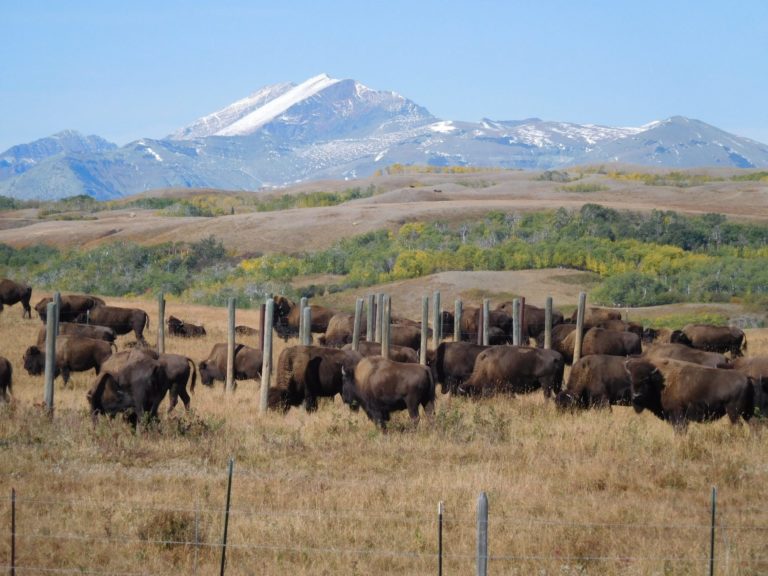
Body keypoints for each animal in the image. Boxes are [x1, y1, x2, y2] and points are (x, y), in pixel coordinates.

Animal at [624, 358, 756, 430]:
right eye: (631, 380)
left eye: (646, 380)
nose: (636, 396)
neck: (661, 381)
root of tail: (746, 377)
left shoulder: (677, 415)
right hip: (747, 412)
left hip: (733, 412)